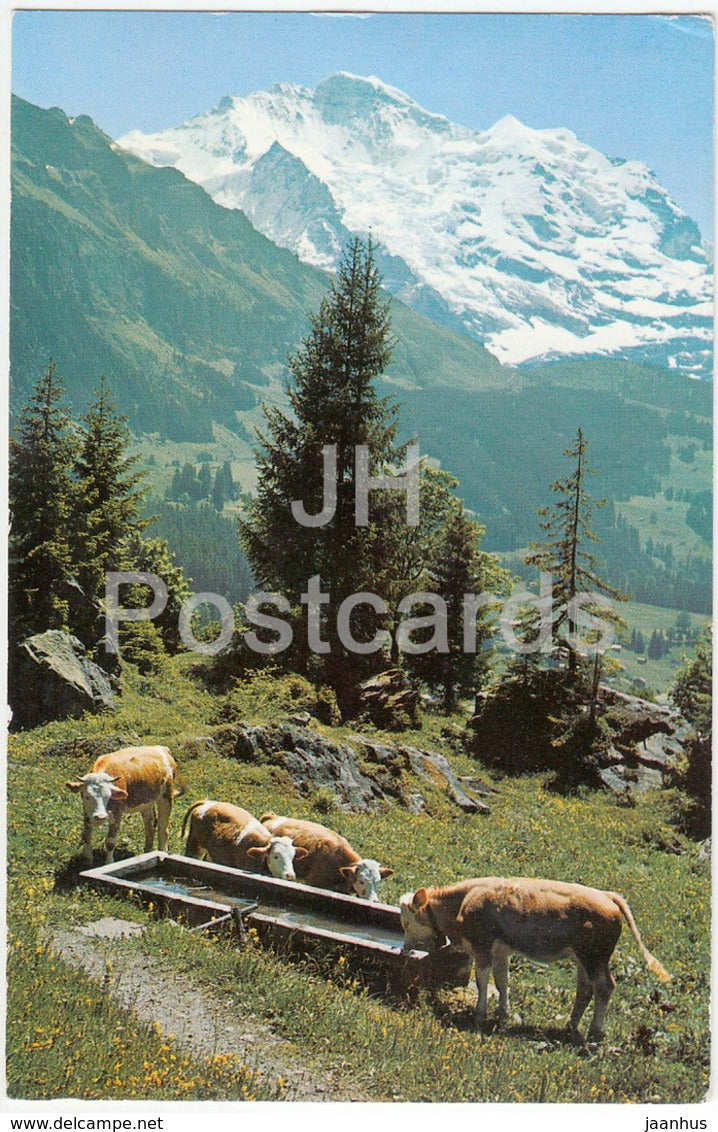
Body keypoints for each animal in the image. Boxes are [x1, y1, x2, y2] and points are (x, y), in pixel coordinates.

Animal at [400, 876, 670, 1041]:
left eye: (407, 922)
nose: (404, 950)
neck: (463, 902)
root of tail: (606, 895)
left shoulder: (483, 945)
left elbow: (482, 980)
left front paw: (479, 1014)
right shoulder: (501, 950)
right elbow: (502, 981)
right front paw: (503, 1013)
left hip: (594, 957)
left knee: (604, 987)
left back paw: (594, 1030)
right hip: (583, 959)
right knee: (585, 990)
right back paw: (571, 1025)